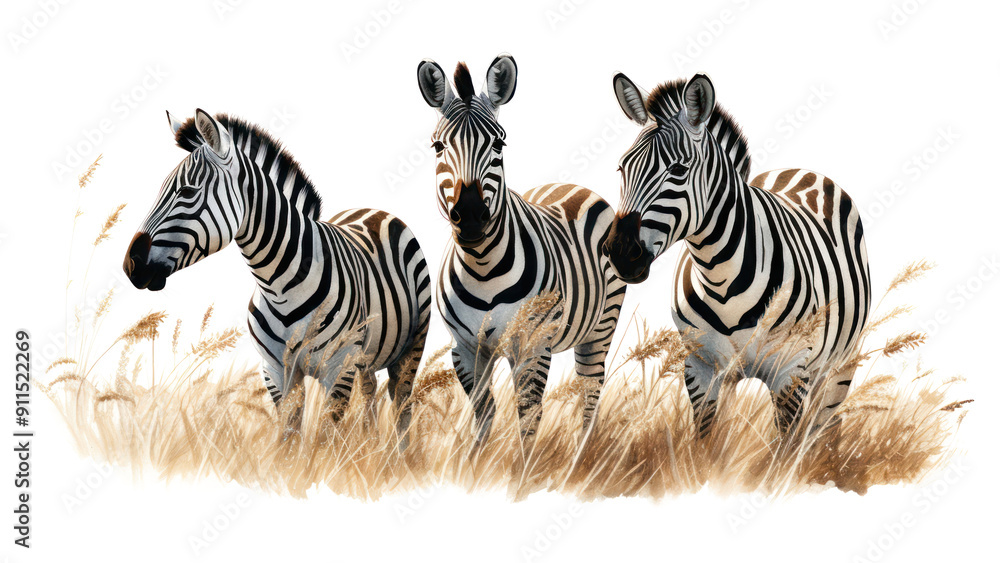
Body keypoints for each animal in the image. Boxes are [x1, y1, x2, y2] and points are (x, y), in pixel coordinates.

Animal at [122, 109, 431, 441]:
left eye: (187, 192)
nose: (130, 265)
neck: (280, 286)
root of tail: (372, 210)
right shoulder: (276, 371)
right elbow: (288, 438)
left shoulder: (337, 369)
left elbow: (323, 442)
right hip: (365, 358)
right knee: (371, 391)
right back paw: (370, 448)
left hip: (410, 348)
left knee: (401, 406)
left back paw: (396, 453)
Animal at [416, 54, 627, 444]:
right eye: (438, 147)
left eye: (499, 145)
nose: (470, 217)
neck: (481, 266)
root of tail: (570, 186)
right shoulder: (466, 349)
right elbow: (484, 413)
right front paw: (476, 460)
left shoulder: (530, 345)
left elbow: (529, 417)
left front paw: (523, 463)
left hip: (600, 326)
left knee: (590, 393)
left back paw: (582, 452)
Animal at [603, 73, 870, 432]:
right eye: (621, 169)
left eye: (678, 170)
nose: (620, 251)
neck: (719, 273)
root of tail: (801, 171)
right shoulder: (701, 367)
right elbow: (708, 441)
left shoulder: (790, 371)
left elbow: (784, 447)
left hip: (838, 365)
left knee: (823, 427)